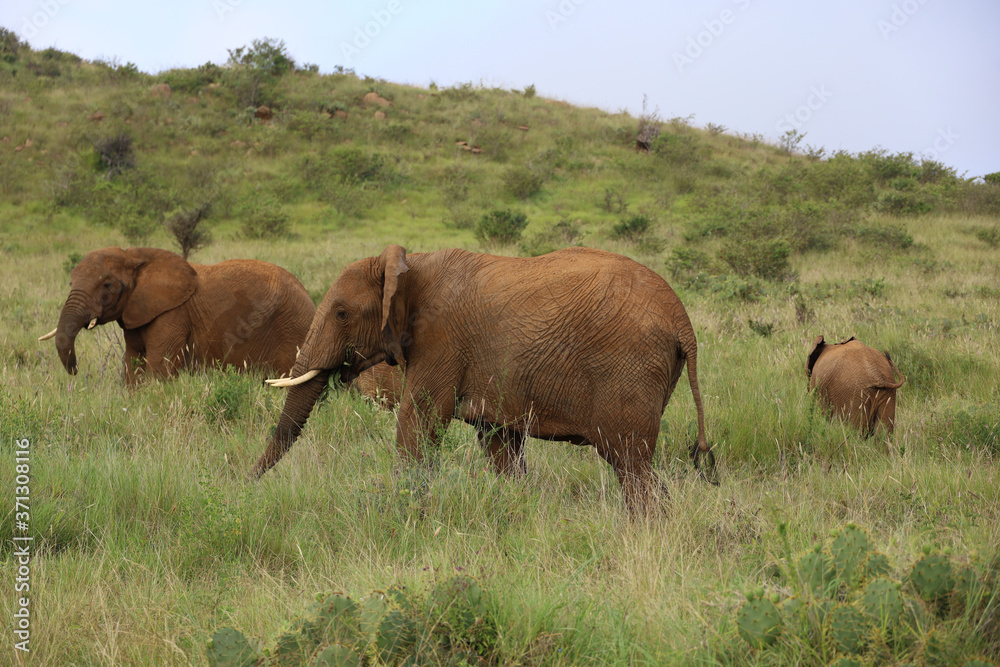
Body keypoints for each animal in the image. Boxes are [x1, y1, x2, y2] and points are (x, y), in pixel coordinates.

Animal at [41, 247, 314, 384]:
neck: (134, 254)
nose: (76, 371)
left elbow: (159, 366)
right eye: (70, 282)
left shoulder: (173, 314)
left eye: (107, 285)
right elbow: (132, 362)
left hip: (292, 329)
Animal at [254, 244, 716, 512]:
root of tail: (684, 322)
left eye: (341, 313)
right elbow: (498, 443)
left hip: (630, 370)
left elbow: (419, 422)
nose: (245, 483)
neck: (408, 264)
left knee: (631, 464)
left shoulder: (441, 339)